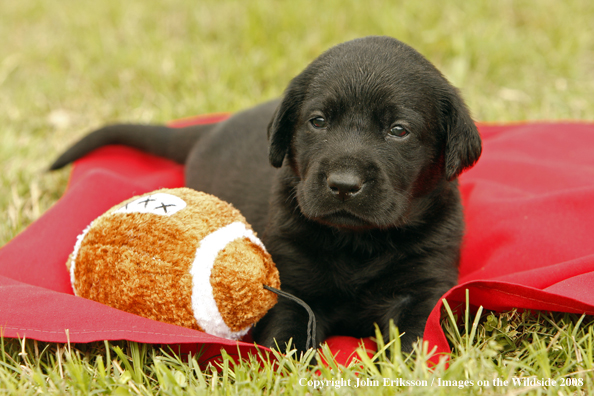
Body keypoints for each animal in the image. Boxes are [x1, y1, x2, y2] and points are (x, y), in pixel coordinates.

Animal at [51, 36, 480, 352]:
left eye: (398, 130)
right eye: (318, 121)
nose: (343, 184)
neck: (357, 245)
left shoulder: (424, 285)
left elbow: (416, 341)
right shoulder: (291, 286)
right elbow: (286, 340)